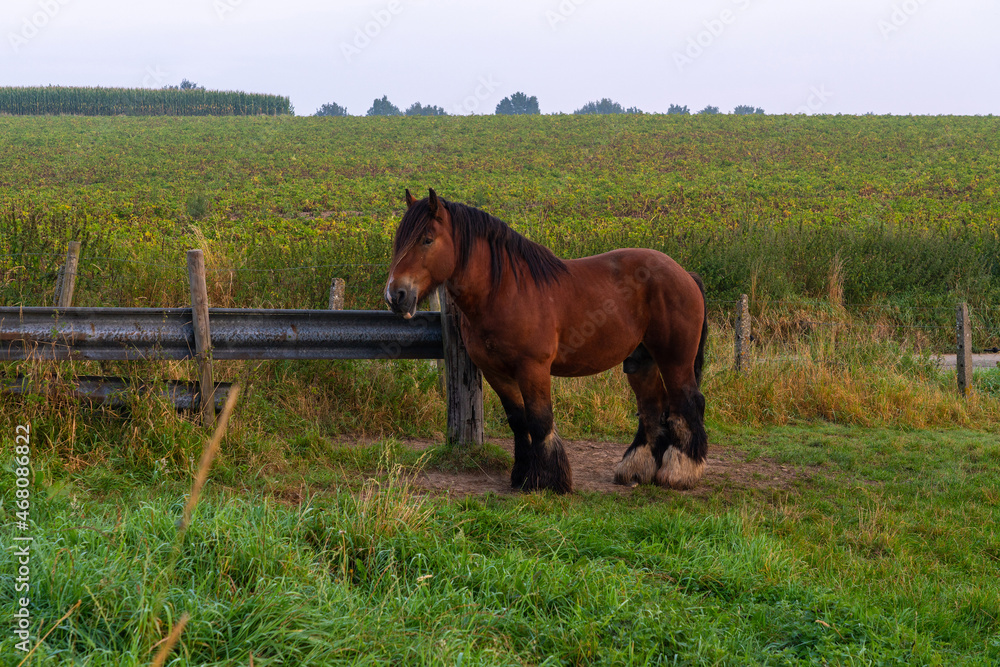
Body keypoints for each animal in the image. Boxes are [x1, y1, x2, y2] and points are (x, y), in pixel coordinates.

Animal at [385, 189, 708, 494]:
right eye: (399, 240)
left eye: (427, 240)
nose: (395, 295)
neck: (504, 291)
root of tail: (685, 274)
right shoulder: (496, 372)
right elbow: (518, 421)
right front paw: (521, 475)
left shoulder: (533, 368)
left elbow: (540, 421)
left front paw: (548, 480)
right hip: (641, 362)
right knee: (652, 407)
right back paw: (637, 470)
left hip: (675, 359)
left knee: (687, 402)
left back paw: (680, 472)